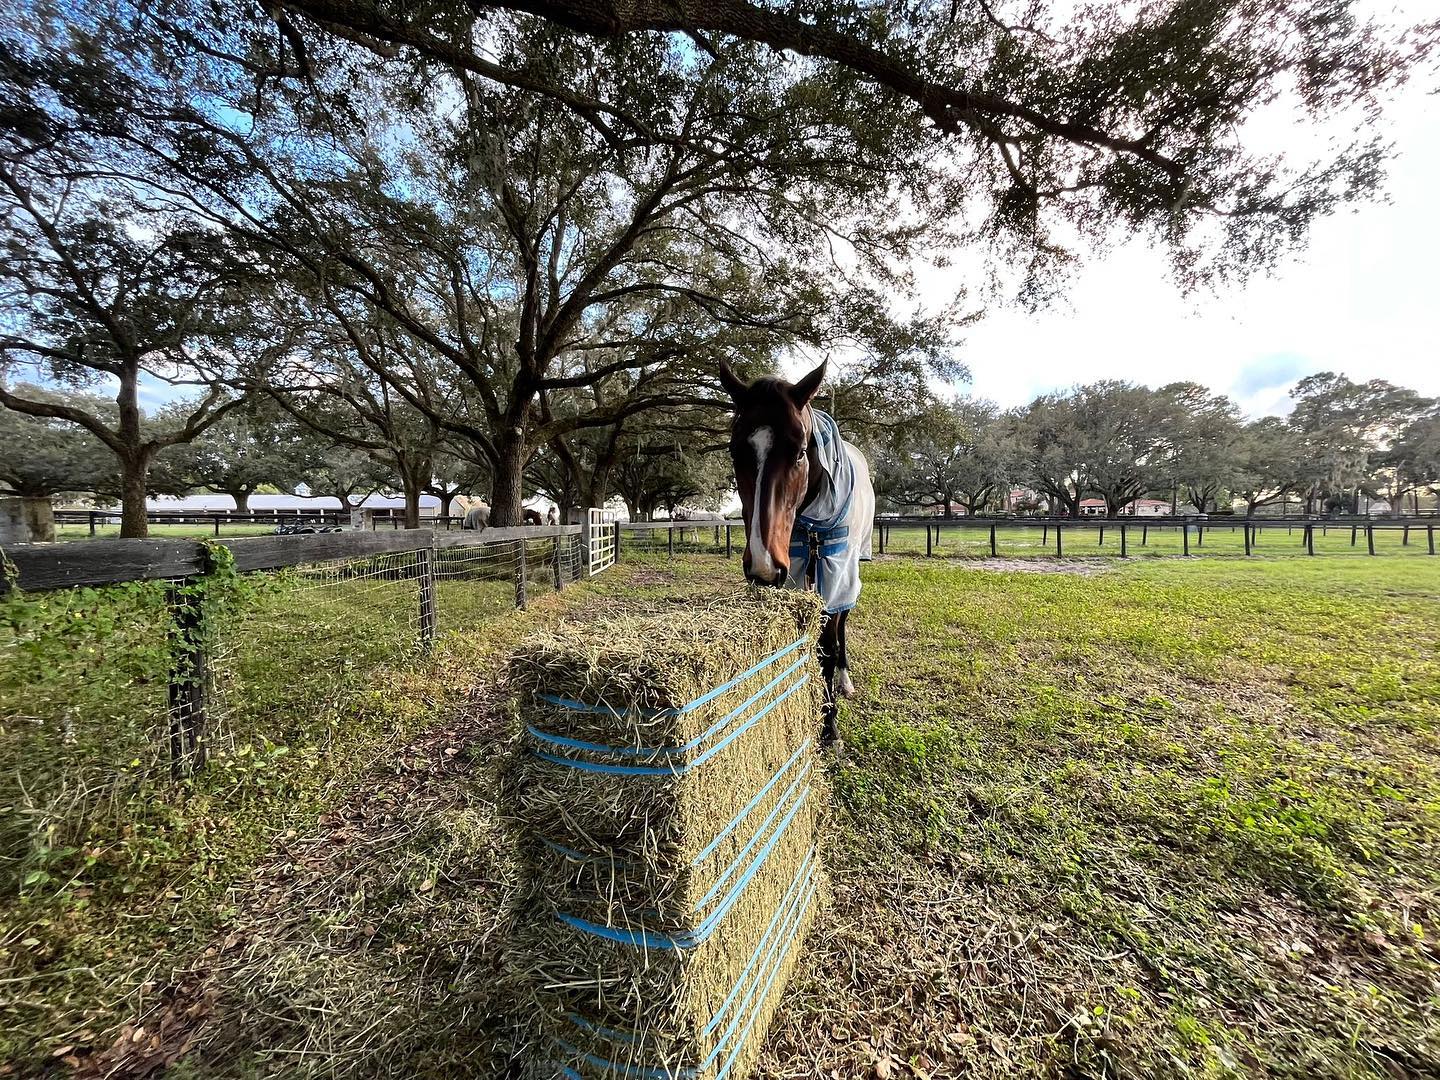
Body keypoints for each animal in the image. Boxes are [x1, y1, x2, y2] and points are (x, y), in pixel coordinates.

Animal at [720, 360, 875, 748]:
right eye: (734, 451)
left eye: (801, 451)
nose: (762, 566)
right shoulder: (793, 572)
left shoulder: (835, 571)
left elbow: (828, 646)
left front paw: (829, 725)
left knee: (843, 622)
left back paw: (844, 681)